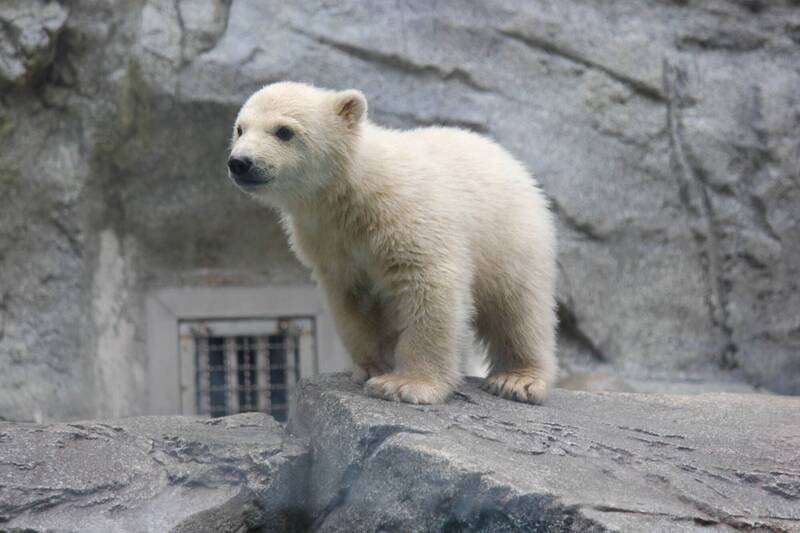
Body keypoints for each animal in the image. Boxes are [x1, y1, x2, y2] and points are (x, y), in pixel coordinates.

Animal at [227, 82, 557, 405]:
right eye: (240, 128)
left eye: (284, 131)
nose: (240, 162)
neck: (352, 189)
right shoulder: (330, 242)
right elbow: (353, 302)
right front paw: (371, 368)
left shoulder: (406, 215)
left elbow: (428, 285)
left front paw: (405, 384)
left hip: (509, 234)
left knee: (517, 305)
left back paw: (517, 379)